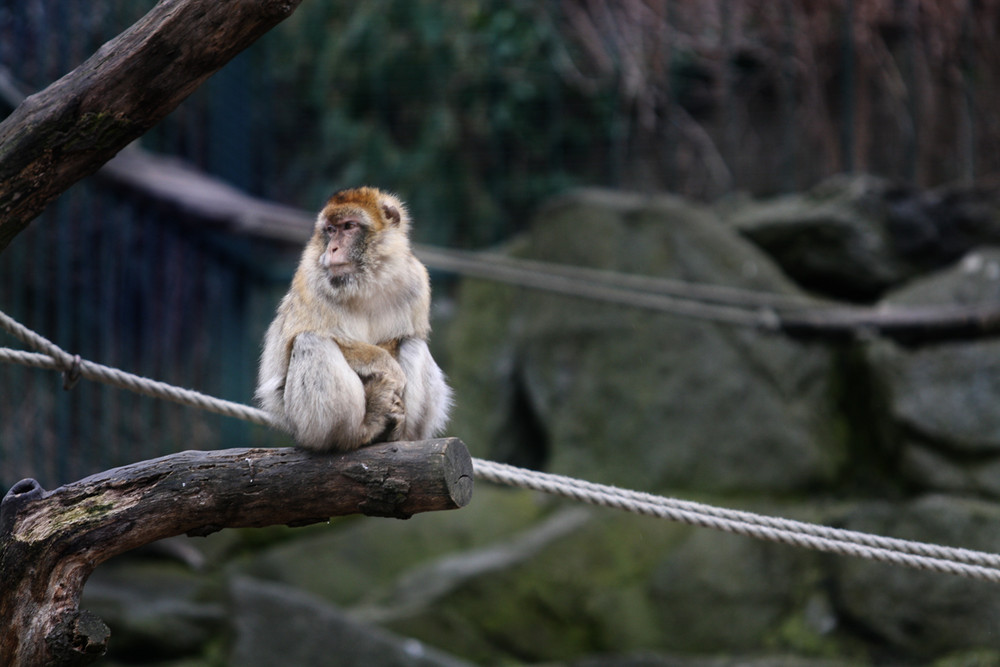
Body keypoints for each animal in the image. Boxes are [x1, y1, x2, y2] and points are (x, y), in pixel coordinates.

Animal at [256, 185, 452, 452]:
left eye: (349, 226)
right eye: (331, 230)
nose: (332, 249)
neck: (367, 280)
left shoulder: (416, 279)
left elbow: (400, 337)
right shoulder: (310, 279)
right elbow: (297, 342)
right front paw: (388, 369)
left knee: (413, 342)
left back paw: (397, 433)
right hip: (302, 426)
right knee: (310, 342)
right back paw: (361, 428)